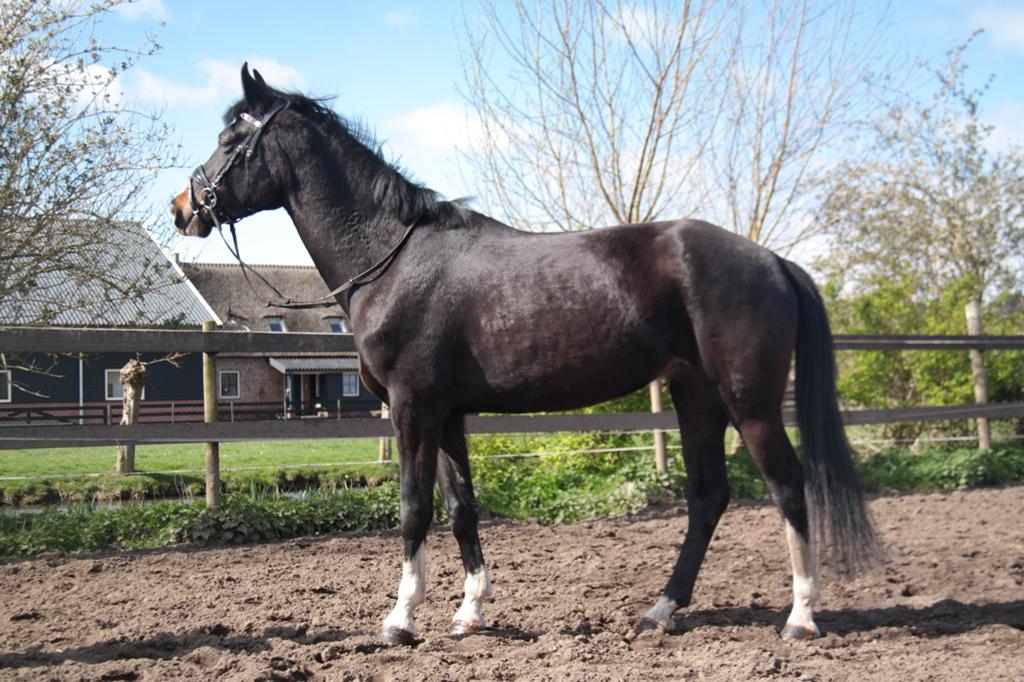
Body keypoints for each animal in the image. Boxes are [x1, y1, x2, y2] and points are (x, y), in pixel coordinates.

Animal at [171, 65, 879, 645]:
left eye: (232, 138)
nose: (183, 208)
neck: (393, 257)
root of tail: (771, 260)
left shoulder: (412, 408)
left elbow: (413, 507)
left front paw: (400, 620)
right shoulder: (447, 415)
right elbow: (461, 509)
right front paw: (469, 612)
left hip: (748, 401)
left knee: (788, 485)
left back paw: (800, 616)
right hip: (695, 395)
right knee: (708, 496)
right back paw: (661, 610)